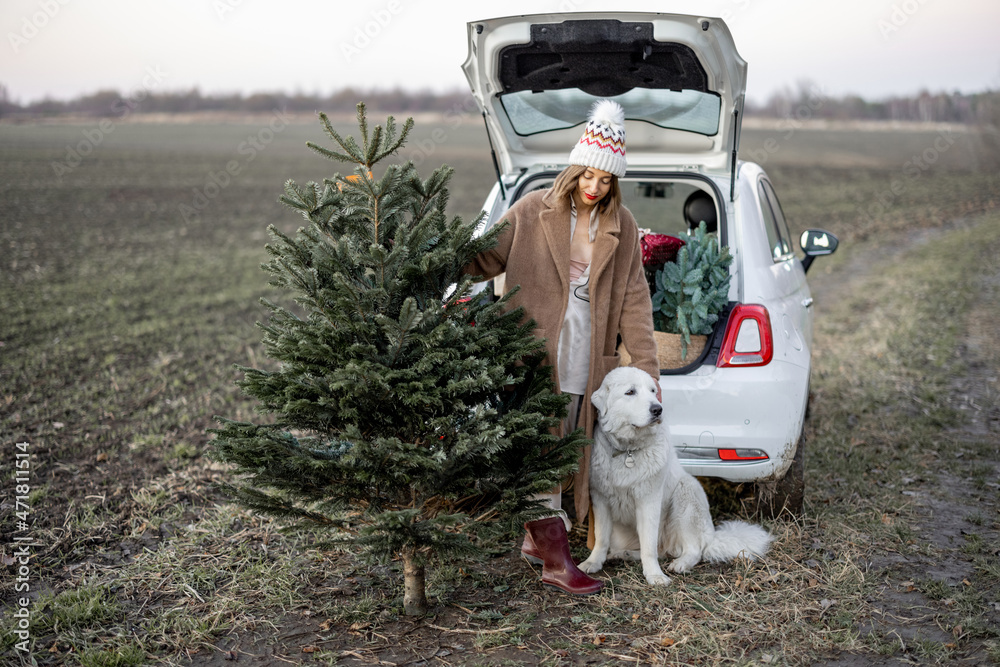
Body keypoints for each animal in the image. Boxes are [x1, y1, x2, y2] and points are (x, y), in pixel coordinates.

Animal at [580, 368, 772, 588]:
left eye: (653, 391)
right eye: (630, 392)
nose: (657, 409)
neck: (628, 450)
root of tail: (711, 535)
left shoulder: (648, 501)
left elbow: (649, 546)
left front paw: (654, 575)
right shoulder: (600, 499)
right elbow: (601, 537)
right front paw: (593, 562)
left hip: (686, 495)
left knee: (692, 549)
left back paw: (680, 563)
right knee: (657, 550)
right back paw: (624, 554)